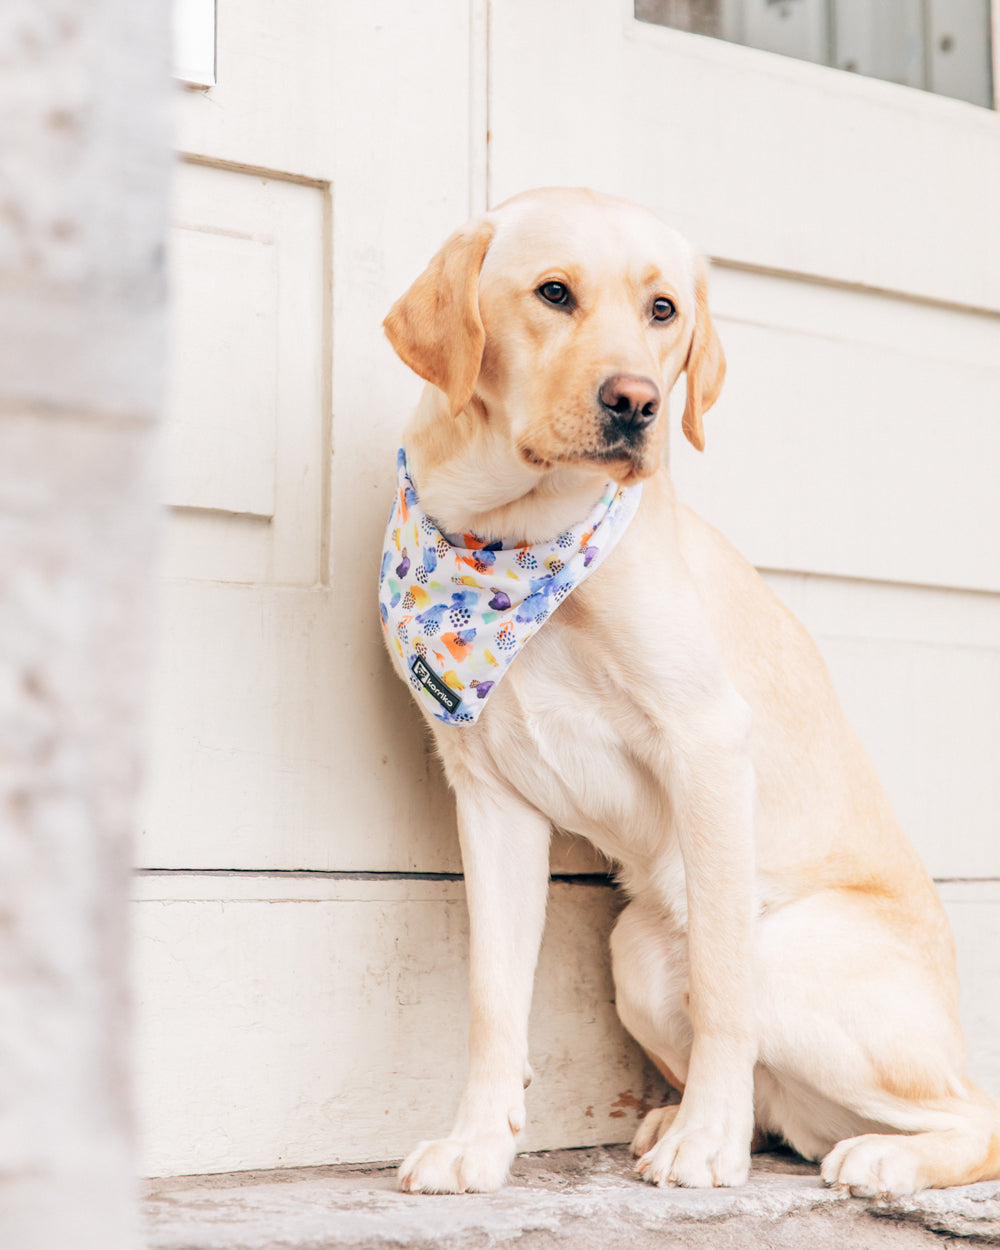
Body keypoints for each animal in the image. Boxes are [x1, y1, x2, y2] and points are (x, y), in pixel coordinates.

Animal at [377, 187, 1000, 1200]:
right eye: (554, 293)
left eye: (663, 310)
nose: (637, 403)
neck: (513, 540)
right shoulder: (491, 795)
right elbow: (493, 1000)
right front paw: (477, 1143)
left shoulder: (706, 747)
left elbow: (721, 988)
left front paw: (709, 1141)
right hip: (633, 953)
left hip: (789, 952)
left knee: (977, 1114)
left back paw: (877, 1156)